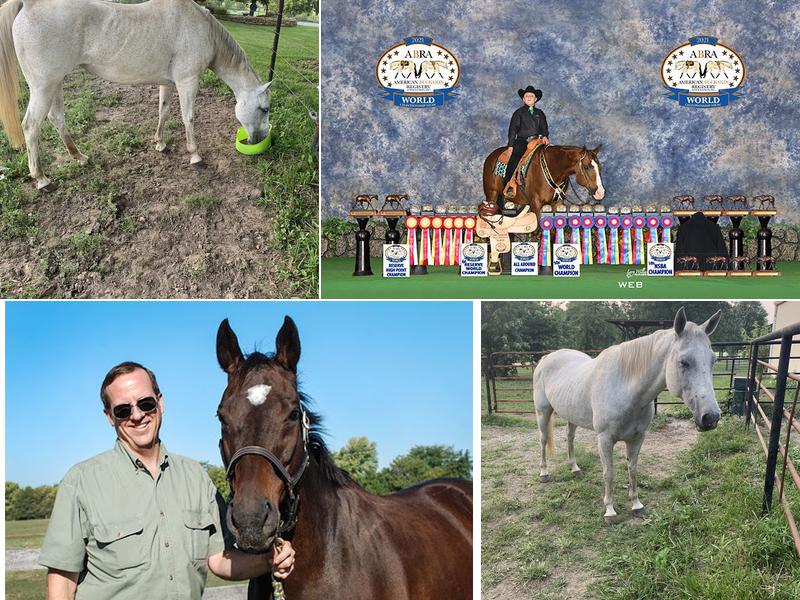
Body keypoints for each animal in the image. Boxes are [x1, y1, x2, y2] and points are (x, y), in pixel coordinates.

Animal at [0, 0, 272, 191]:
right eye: (265, 109)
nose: (259, 139)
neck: (202, 28)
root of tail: (28, 4)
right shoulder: (188, 82)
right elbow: (189, 117)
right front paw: (195, 155)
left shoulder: (168, 83)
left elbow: (163, 110)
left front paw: (160, 143)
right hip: (43, 88)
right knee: (31, 127)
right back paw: (42, 179)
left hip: (55, 84)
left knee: (57, 119)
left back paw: (79, 157)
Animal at [533, 307, 721, 523]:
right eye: (684, 362)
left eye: (713, 360)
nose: (711, 417)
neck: (625, 387)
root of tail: (546, 358)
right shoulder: (605, 439)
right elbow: (609, 473)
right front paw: (610, 511)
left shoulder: (637, 438)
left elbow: (632, 470)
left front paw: (636, 505)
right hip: (543, 412)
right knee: (543, 440)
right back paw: (544, 473)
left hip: (572, 415)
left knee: (570, 438)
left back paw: (575, 469)